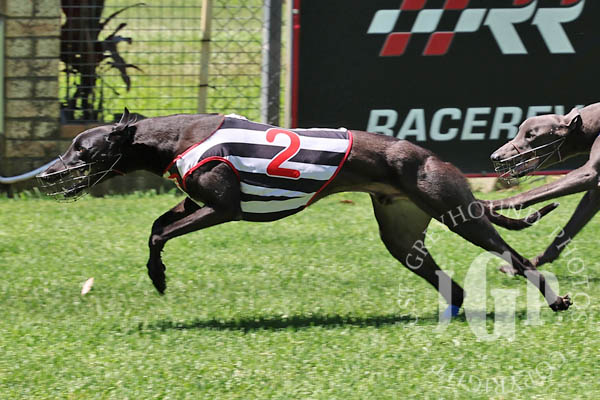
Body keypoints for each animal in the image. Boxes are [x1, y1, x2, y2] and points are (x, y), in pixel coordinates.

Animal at [37, 109, 572, 314]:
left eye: (83, 151)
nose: (46, 176)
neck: (175, 138)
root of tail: (429, 155)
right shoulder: (193, 201)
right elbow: (155, 225)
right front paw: (157, 274)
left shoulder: (224, 208)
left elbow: (158, 233)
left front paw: (159, 277)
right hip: (402, 237)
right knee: (450, 283)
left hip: (458, 213)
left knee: (516, 258)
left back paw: (555, 301)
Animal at [490, 102, 600, 270]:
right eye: (519, 131)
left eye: (531, 135)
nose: (495, 157)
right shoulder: (595, 195)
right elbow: (569, 229)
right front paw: (525, 266)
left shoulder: (588, 174)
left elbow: (528, 194)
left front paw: (492, 204)